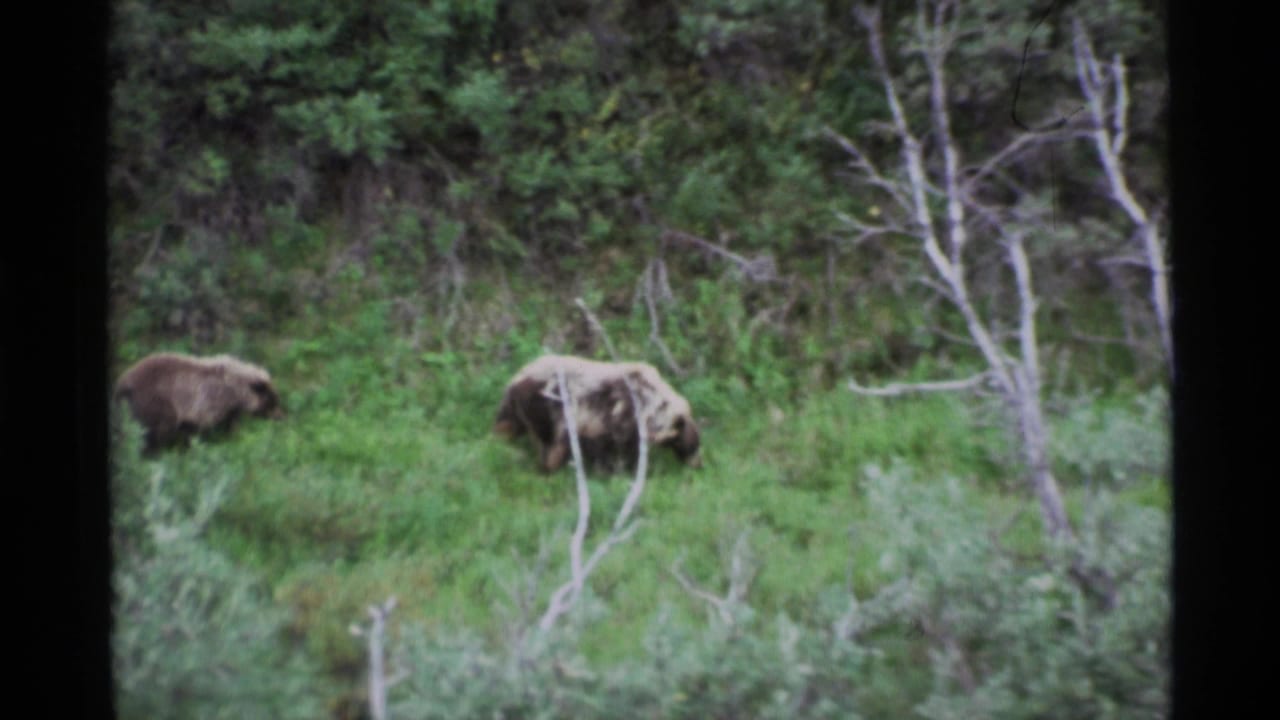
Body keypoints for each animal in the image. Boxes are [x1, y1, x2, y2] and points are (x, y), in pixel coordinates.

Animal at [114, 352, 284, 454]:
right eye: (272, 401)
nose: (281, 416)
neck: (234, 391)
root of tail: (123, 381)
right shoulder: (208, 402)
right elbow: (200, 428)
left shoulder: (227, 407)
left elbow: (230, 423)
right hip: (155, 402)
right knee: (153, 431)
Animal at [494, 354, 701, 473]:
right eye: (691, 444)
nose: (698, 464)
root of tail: (515, 382)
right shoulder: (613, 418)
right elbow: (615, 448)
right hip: (546, 407)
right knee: (550, 440)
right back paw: (548, 466)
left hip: (518, 410)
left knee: (507, 424)